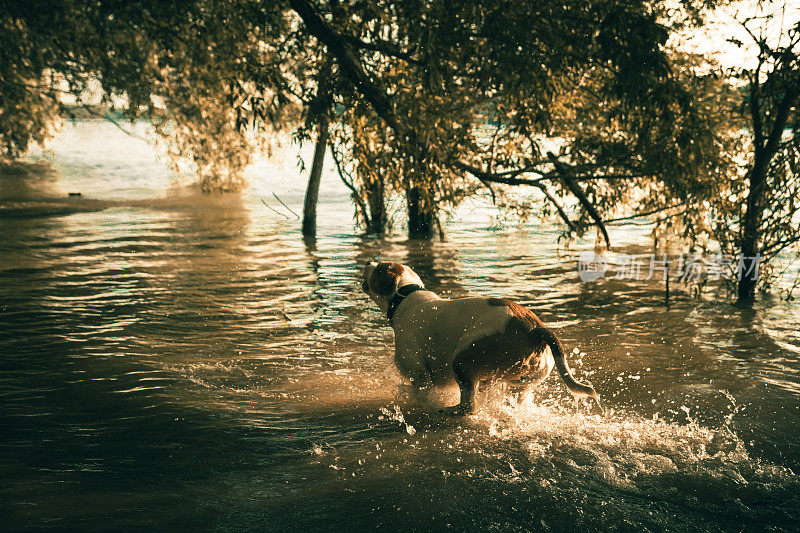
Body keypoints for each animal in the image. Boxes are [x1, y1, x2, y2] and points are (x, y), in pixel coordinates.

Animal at [362, 260, 600, 414]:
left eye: (379, 268)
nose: (367, 262)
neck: (405, 296)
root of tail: (535, 329)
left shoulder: (419, 376)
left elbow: (421, 392)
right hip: (523, 384)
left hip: (462, 360)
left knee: (469, 405)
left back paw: (452, 410)